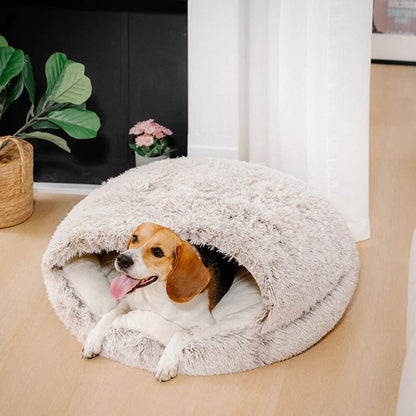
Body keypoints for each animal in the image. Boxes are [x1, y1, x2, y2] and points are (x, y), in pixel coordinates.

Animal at [82, 223, 237, 382]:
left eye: (157, 252)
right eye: (135, 238)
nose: (122, 259)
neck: (157, 294)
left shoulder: (205, 324)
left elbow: (179, 333)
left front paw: (166, 363)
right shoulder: (129, 303)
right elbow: (110, 314)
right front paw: (93, 339)